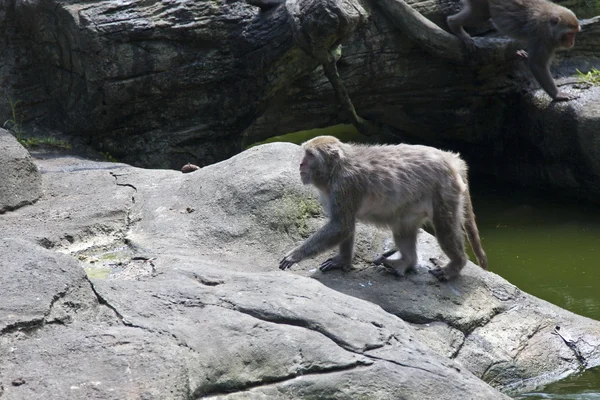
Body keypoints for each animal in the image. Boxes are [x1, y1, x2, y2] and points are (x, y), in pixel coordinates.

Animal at [278, 137, 488, 282]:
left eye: (310, 155)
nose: (301, 164)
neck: (337, 169)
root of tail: (451, 159)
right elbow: (344, 226)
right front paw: (342, 261)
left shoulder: (346, 186)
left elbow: (341, 226)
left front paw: (295, 255)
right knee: (403, 226)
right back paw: (408, 261)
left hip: (445, 191)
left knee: (444, 228)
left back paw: (455, 265)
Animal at [446, 0, 580, 101]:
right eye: (569, 34)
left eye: (574, 34)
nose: (572, 42)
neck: (548, 24)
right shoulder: (541, 37)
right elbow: (537, 64)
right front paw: (558, 95)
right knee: (480, 13)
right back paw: (454, 25)